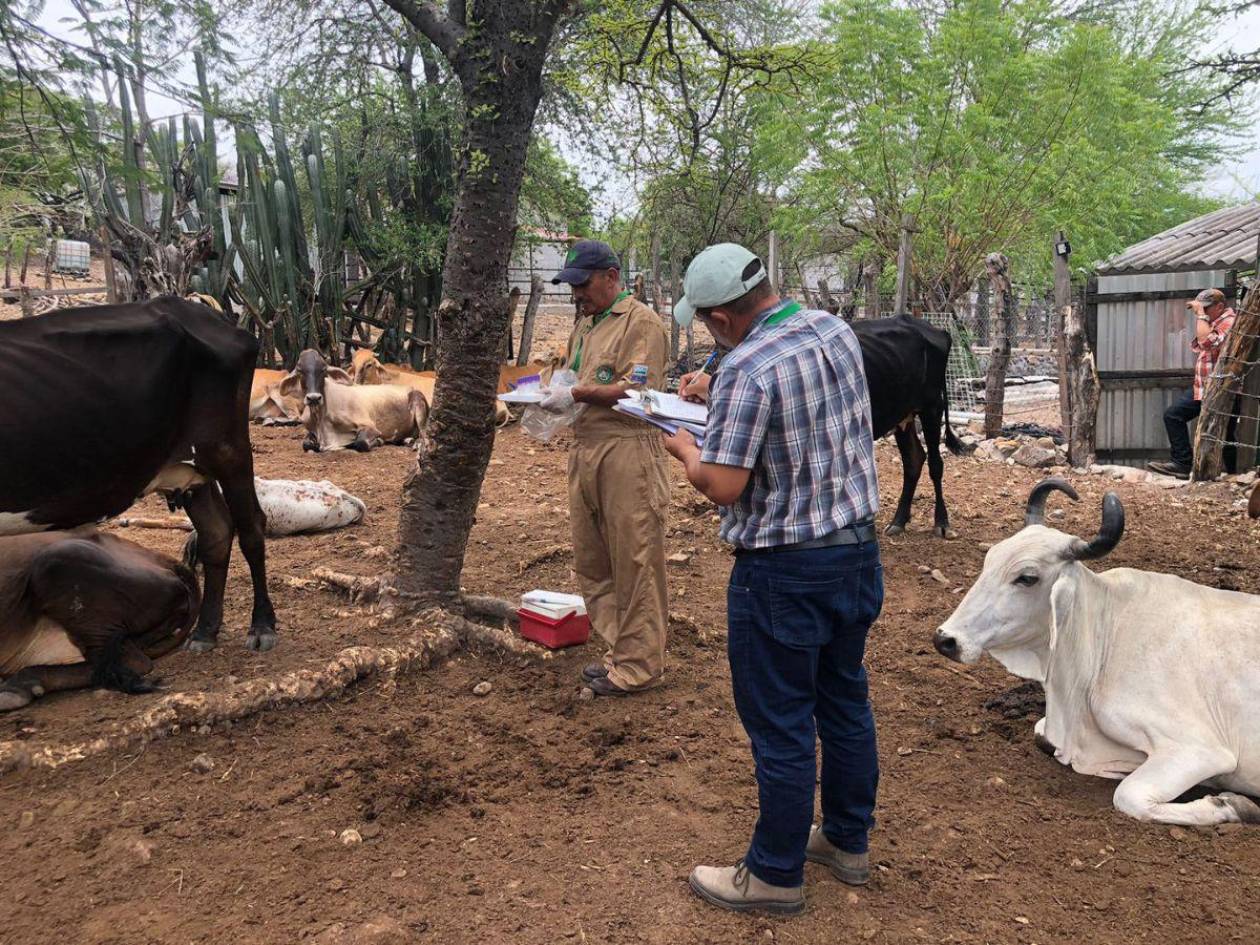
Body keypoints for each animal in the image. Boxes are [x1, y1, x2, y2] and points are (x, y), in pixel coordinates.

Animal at [282, 350, 428, 453]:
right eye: (300, 370)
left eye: (323, 370)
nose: (313, 398)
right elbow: (305, 444)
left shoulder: (370, 426)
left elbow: (360, 442)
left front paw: (378, 441)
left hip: (418, 404)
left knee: (423, 434)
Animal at [932, 481, 1260, 826]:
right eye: (990, 559)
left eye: (1027, 578)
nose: (946, 640)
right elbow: (1041, 734)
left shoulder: (1200, 749)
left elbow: (1129, 796)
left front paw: (1234, 805)